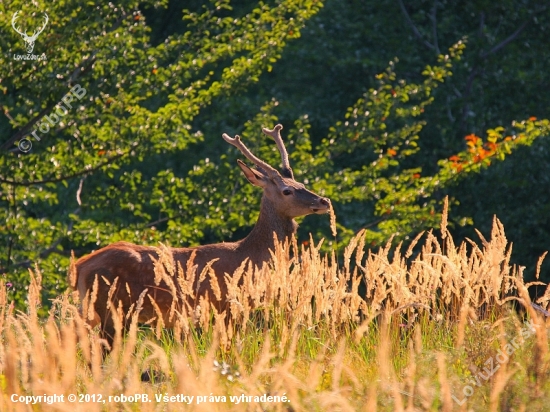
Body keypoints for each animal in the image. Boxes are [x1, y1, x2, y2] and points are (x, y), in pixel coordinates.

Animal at [73, 123, 332, 348]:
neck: (250, 256)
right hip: (111, 308)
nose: (324, 201)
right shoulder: (225, 304)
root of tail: (79, 266)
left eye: (302, 184)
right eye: (287, 191)